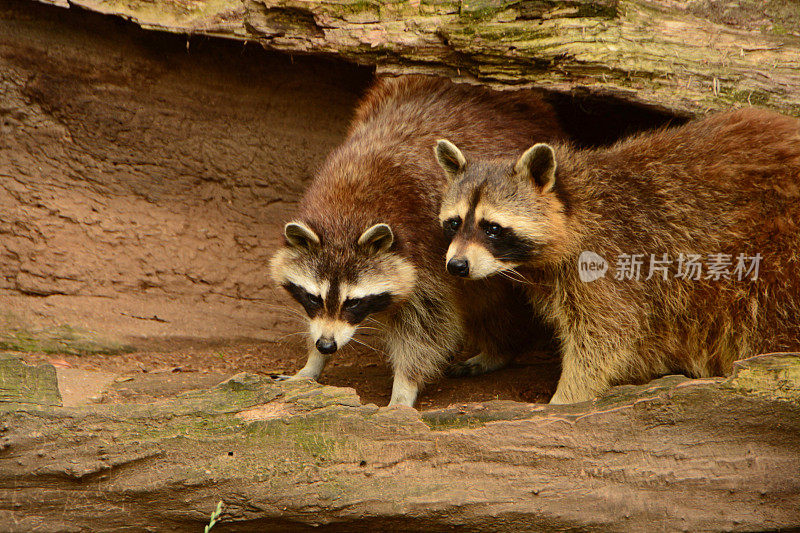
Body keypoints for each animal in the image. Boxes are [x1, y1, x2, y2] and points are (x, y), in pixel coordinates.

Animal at [272, 75, 564, 406]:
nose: (326, 345)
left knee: (489, 298)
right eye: (313, 298)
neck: (346, 212)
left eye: (354, 302)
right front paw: (312, 361)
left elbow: (427, 324)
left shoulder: (428, 249)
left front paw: (403, 386)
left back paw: (501, 347)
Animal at [434, 108, 800, 404]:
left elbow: (604, 336)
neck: (572, 203)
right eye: (454, 223)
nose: (457, 266)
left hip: (775, 254)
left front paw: (568, 396)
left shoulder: (609, 261)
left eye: (492, 228)